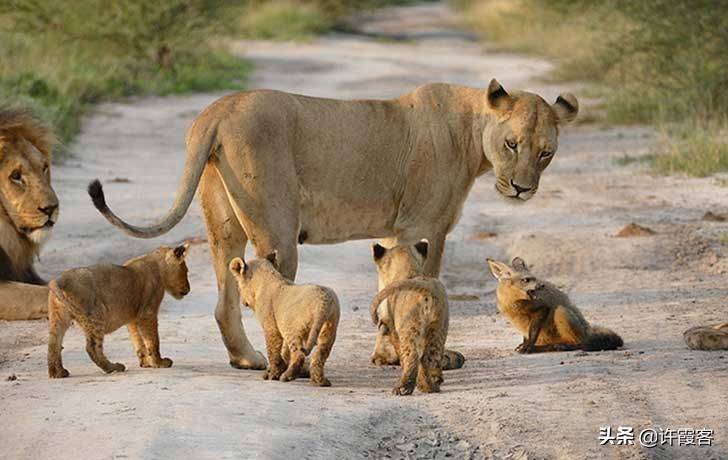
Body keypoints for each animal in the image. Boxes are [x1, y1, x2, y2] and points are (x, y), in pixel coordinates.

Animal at [89, 78, 580, 366]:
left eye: (546, 153)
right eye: (512, 144)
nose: (522, 189)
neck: (472, 133)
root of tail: (219, 110)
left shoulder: (400, 230)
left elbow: (391, 285)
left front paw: (388, 352)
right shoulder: (423, 226)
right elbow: (420, 286)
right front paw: (424, 356)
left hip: (223, 225)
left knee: (225, 298)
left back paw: (247, 359)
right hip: (277, 228)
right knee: (269, 293)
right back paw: (292, 365)